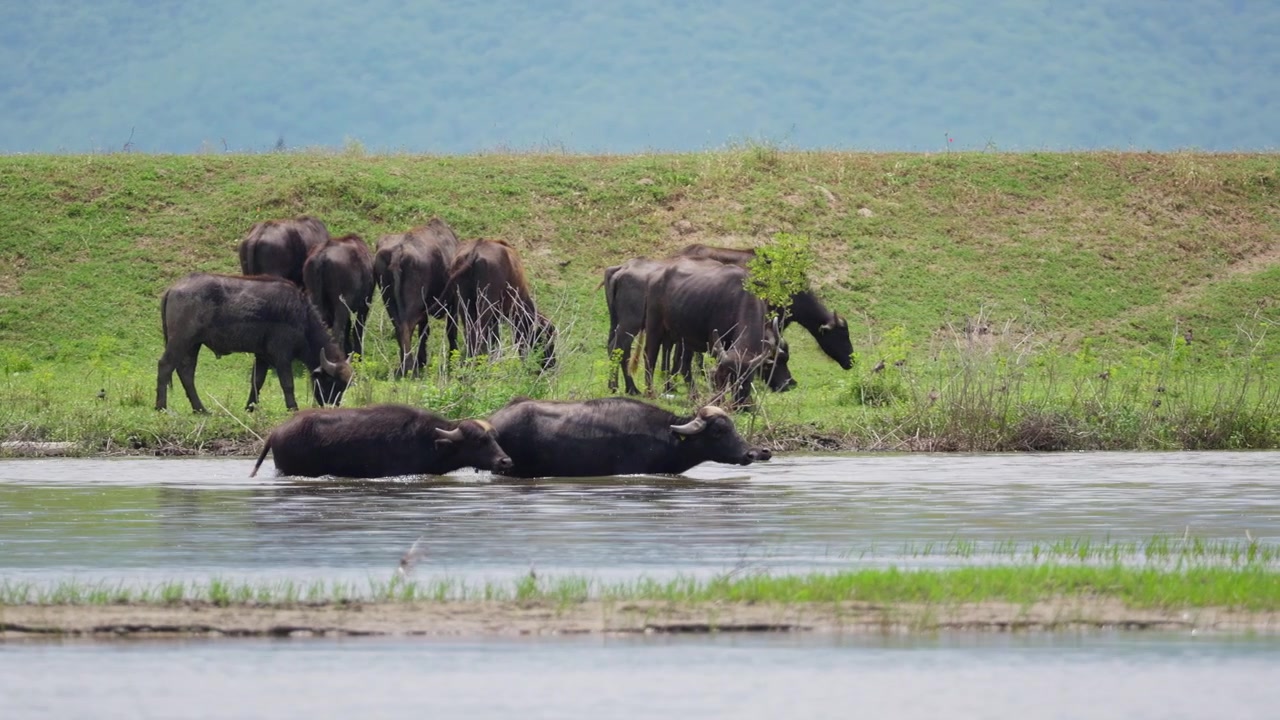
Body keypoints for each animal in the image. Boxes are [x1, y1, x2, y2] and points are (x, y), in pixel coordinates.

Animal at [155, 273, 353, 413]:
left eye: (345, 386)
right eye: (332, 382)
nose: (332, 405)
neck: (302, 317)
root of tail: (173, 288)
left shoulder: (262, 356)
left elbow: (257, 381)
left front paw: (250, 407)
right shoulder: (281, 356)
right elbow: (287, 383)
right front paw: (293, 407)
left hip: (193, 344)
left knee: (186, 372)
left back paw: (201, 409)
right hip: (181, 340)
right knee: (166, 365)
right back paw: (161, 407)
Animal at [373, 219, 461, 377]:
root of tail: (398, 252)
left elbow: (424, 332)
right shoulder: (453, 302)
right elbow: (451, 330)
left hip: (389, 300)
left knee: (400, 328)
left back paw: (404, 365)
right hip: (413, 303)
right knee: (407, 328)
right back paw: (409, 367)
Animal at [445, 239, 556, 370]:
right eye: (547, 336)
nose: (551, 364)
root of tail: (475, 250)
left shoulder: (495, 319)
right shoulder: (515, 316)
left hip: (465, 304)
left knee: (470, 334)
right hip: (485, 306)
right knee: (477, 336)